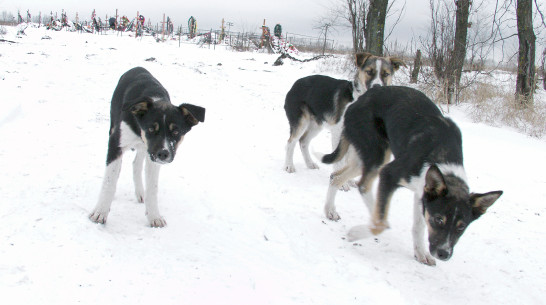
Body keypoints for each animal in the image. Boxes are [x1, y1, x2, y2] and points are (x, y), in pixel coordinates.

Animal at [89, 67, 204, 228]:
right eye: (151, 128)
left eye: (176, 132)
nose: (163, 154)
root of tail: (137, 68)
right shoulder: (116, 144)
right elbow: (109, 181)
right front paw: (100, 213)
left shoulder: (153, 155)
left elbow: (152, 188)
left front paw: (154, 216)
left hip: (146, 150)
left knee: (136, 164)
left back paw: (140, 192)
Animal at [280, 52, 404, 189]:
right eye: (369, 72)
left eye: (386, 74)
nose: (377, 86)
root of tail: (296, 84)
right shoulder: (339, 132)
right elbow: (340, 158)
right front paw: (341, 184)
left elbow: (347, 160)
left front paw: (347, 180)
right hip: (301, 122)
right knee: (291, 142)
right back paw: (289, 166)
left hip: (316, 125)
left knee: (303, 142)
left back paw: (310, 163)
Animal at [318, 85, 502, 264]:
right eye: (438, 219)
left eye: (461, 226)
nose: (444, 254)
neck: (441, 155)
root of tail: (360, 99)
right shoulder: (390, 174)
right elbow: (382, 223)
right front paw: (357, 233)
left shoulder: (422, 193)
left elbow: (418, 227)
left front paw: (420, 253)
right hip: (377, 156)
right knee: (363, 187)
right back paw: (370, 213)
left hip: (365, 158)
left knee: (336, 177)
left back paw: (330, 210)